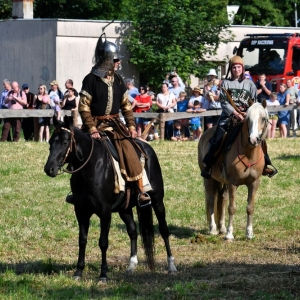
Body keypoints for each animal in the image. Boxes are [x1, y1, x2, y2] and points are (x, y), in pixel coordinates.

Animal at [43, 118, 177, 282]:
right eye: (50, 142)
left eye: (65, 142)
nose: (49, 168)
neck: (91, 167)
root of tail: (147, 148)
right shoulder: (81, 211)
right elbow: (82, 240)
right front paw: (78, 271)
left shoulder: (105, 212)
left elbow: (103, 242)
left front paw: (103, 274)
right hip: (124, 209)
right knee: (133, 231)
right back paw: (131, 265)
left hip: (157, 201)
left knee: (164, 230)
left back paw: (171, 266)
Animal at [198, 102, 268, 240]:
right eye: (248, 119)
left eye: (263, 118)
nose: (253, 139)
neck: (248, 153)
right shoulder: (233, 183)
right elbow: (232, 208)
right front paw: (230, 234)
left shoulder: (254, 183)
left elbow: (250, 207)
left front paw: (249, 233)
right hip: (208, 178)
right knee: (211, 199)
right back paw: (213, 229)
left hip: (223, 182)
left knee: (222, 199)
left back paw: (222, 228)